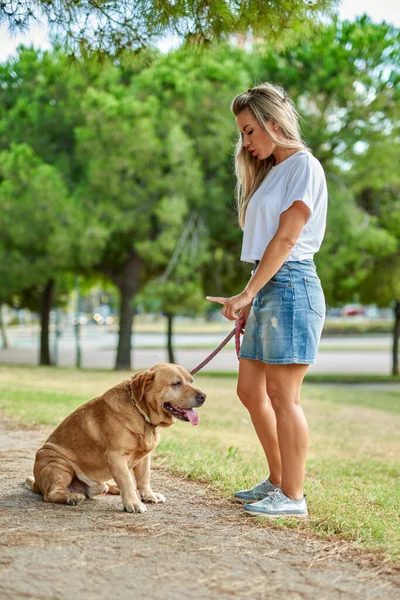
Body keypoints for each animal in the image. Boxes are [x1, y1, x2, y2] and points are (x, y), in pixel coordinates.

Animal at [25, 364, 206, 512]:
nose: (203, 396)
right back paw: (71, 497)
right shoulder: (116, 456)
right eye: (176, 383)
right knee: (51, 494)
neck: (141, 412)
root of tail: (37, 484)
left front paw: (148, 495)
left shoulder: (144, 458)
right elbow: (127, 480)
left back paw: (111, 487)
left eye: (191, 381)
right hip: (58, 464)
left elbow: (144, 478)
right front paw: (133, 503)